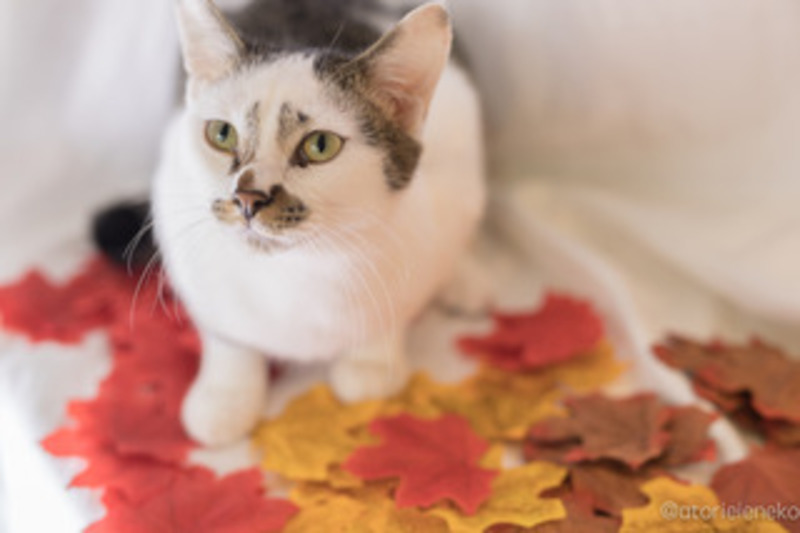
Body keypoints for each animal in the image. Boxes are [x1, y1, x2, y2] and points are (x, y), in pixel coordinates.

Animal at [138, 0, 486, 447]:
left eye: (321, 145)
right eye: (221, 134)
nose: (248, 198)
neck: (299, 271)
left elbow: (396, 308)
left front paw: (371, 362)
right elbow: (226, 333)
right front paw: (226, 395)